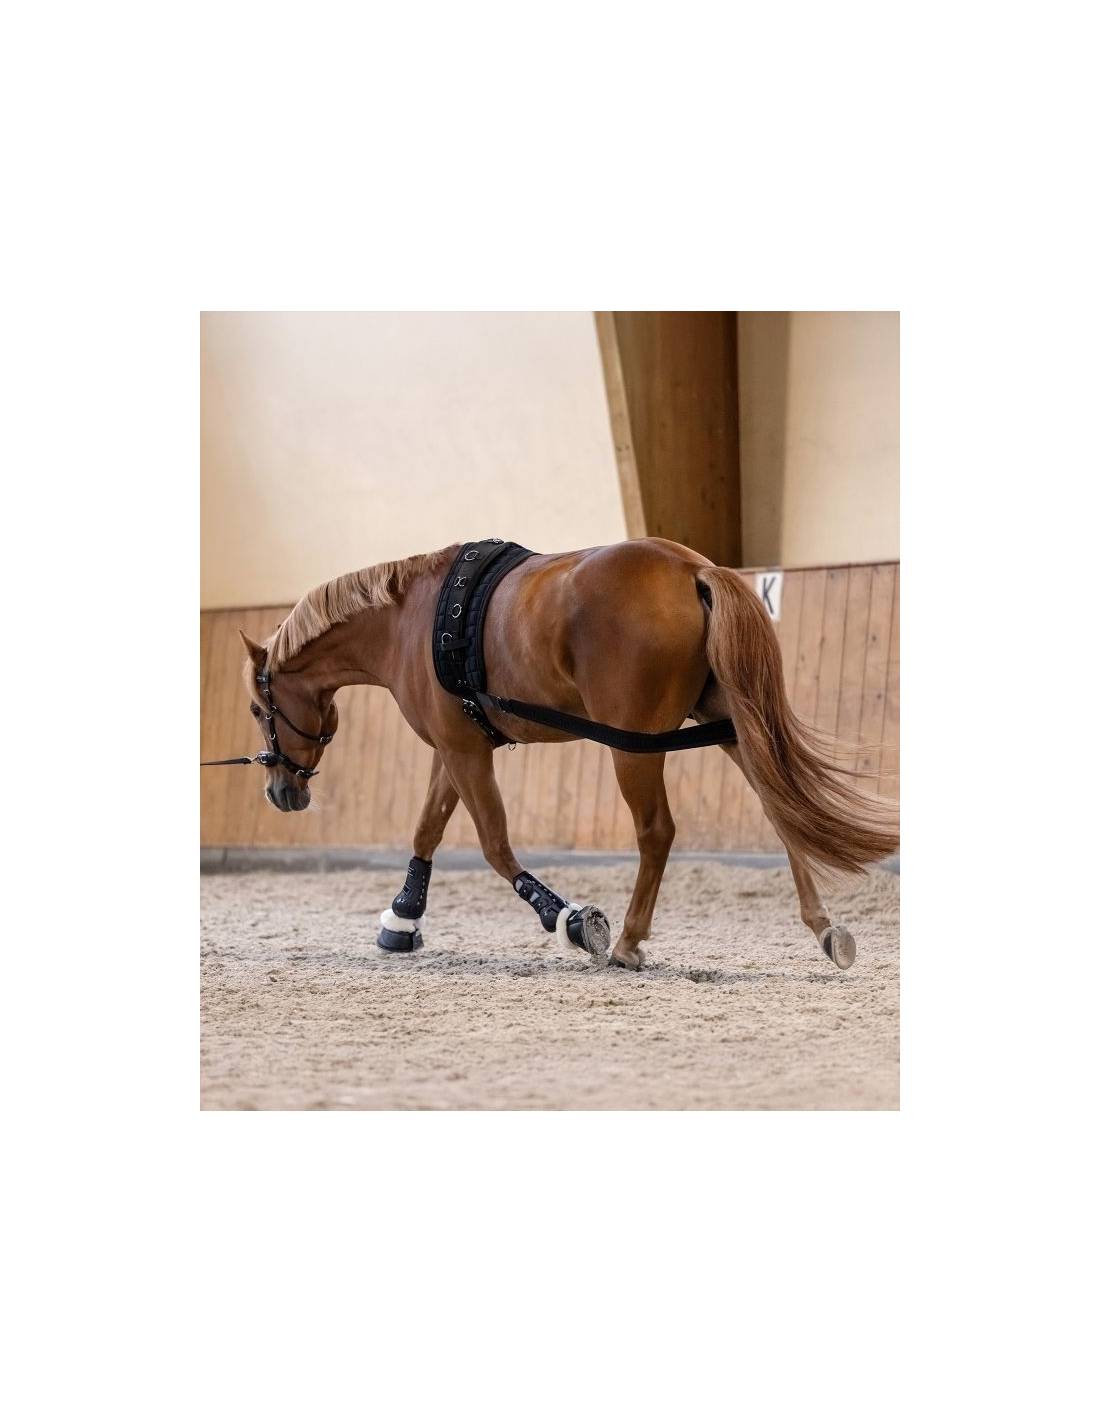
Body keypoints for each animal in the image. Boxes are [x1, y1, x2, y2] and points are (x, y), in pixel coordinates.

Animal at [231, 537, 898, 971]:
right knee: (781, 814)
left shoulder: (464, 751)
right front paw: (402, 919)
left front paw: (574, 922)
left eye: (259, 711)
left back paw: (627, 941)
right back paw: (825, 928)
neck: (410, 621)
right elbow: (427, 830)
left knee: (657, 831)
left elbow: (495, 847)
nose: (281, 792)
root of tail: (693, 569)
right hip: (731, 727)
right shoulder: (455, 748)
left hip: (635, 748)